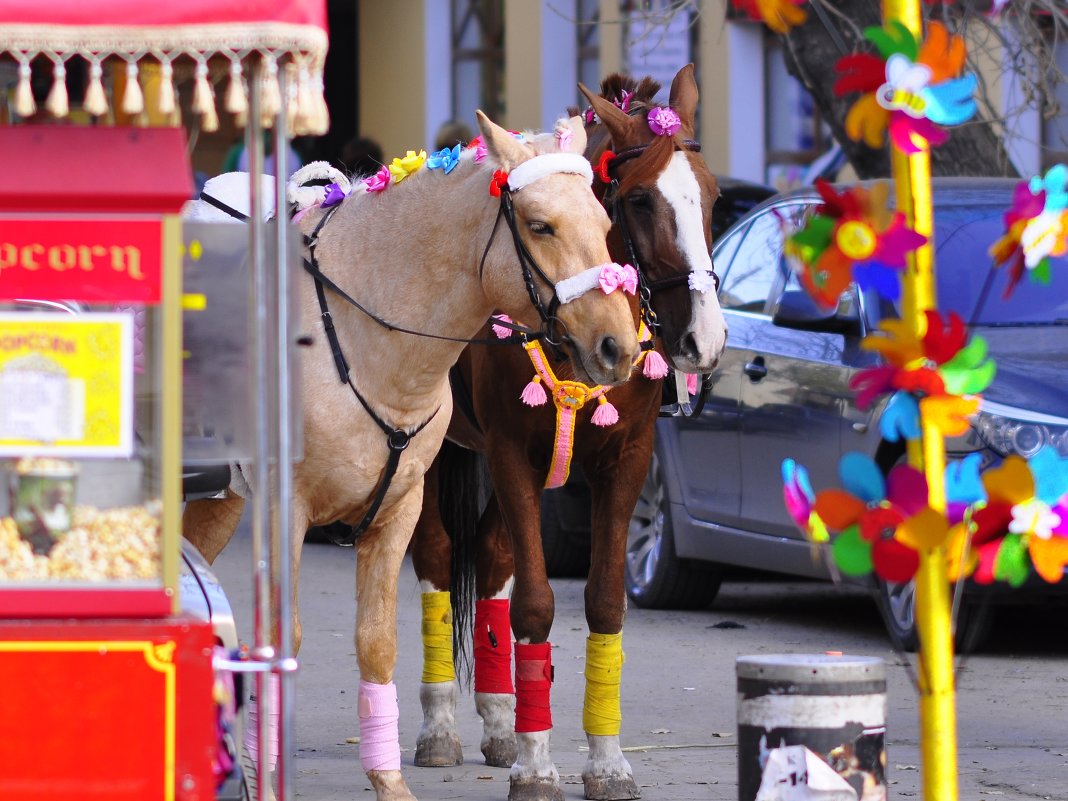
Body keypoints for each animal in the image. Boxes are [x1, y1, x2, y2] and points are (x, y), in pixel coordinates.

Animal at [181, 111, 640, 801]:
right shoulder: (284, 510)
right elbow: (280, 636)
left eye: (605, 225)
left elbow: (376, 643)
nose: (618, 347)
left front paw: (386, 779)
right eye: (540, 225)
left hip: (219, 502)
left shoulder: (399, 510)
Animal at [407, 67, 726, 801]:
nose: (704, 337)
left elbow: (604, 601)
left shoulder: (626, 459)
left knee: (491, 555)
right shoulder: (508, 453)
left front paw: (604, 761)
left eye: (713, 195)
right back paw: (443, 725)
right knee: (439, 555)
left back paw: (502, 719)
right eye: (638, 201)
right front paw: (537, 765)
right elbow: (535, 603)